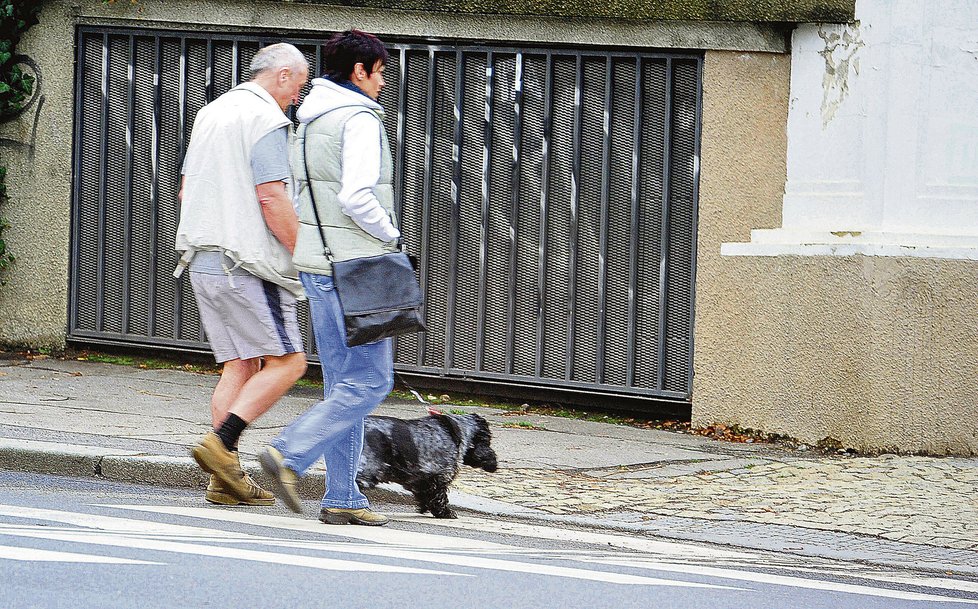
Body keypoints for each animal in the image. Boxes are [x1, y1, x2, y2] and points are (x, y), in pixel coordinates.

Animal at [356, 410, 496, 516]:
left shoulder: (421, 480)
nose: (494, 464)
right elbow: (440, 498)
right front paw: (446, 513)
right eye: (487, 440)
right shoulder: (440, 477)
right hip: (368, 469)